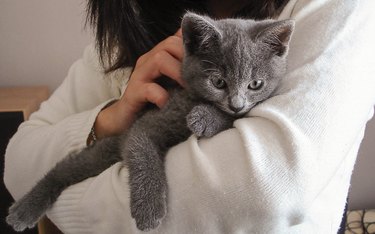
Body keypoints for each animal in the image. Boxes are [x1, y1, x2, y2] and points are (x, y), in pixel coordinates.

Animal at [5, 12, 294, 232]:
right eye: (218, 82)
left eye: (255, 84)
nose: (237, 103)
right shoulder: (144, 126)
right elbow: (143, 153)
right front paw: (148, 209)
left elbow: (231, 117)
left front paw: (204, 118)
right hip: (105, 148)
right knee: (63, 169)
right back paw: (24, 209)